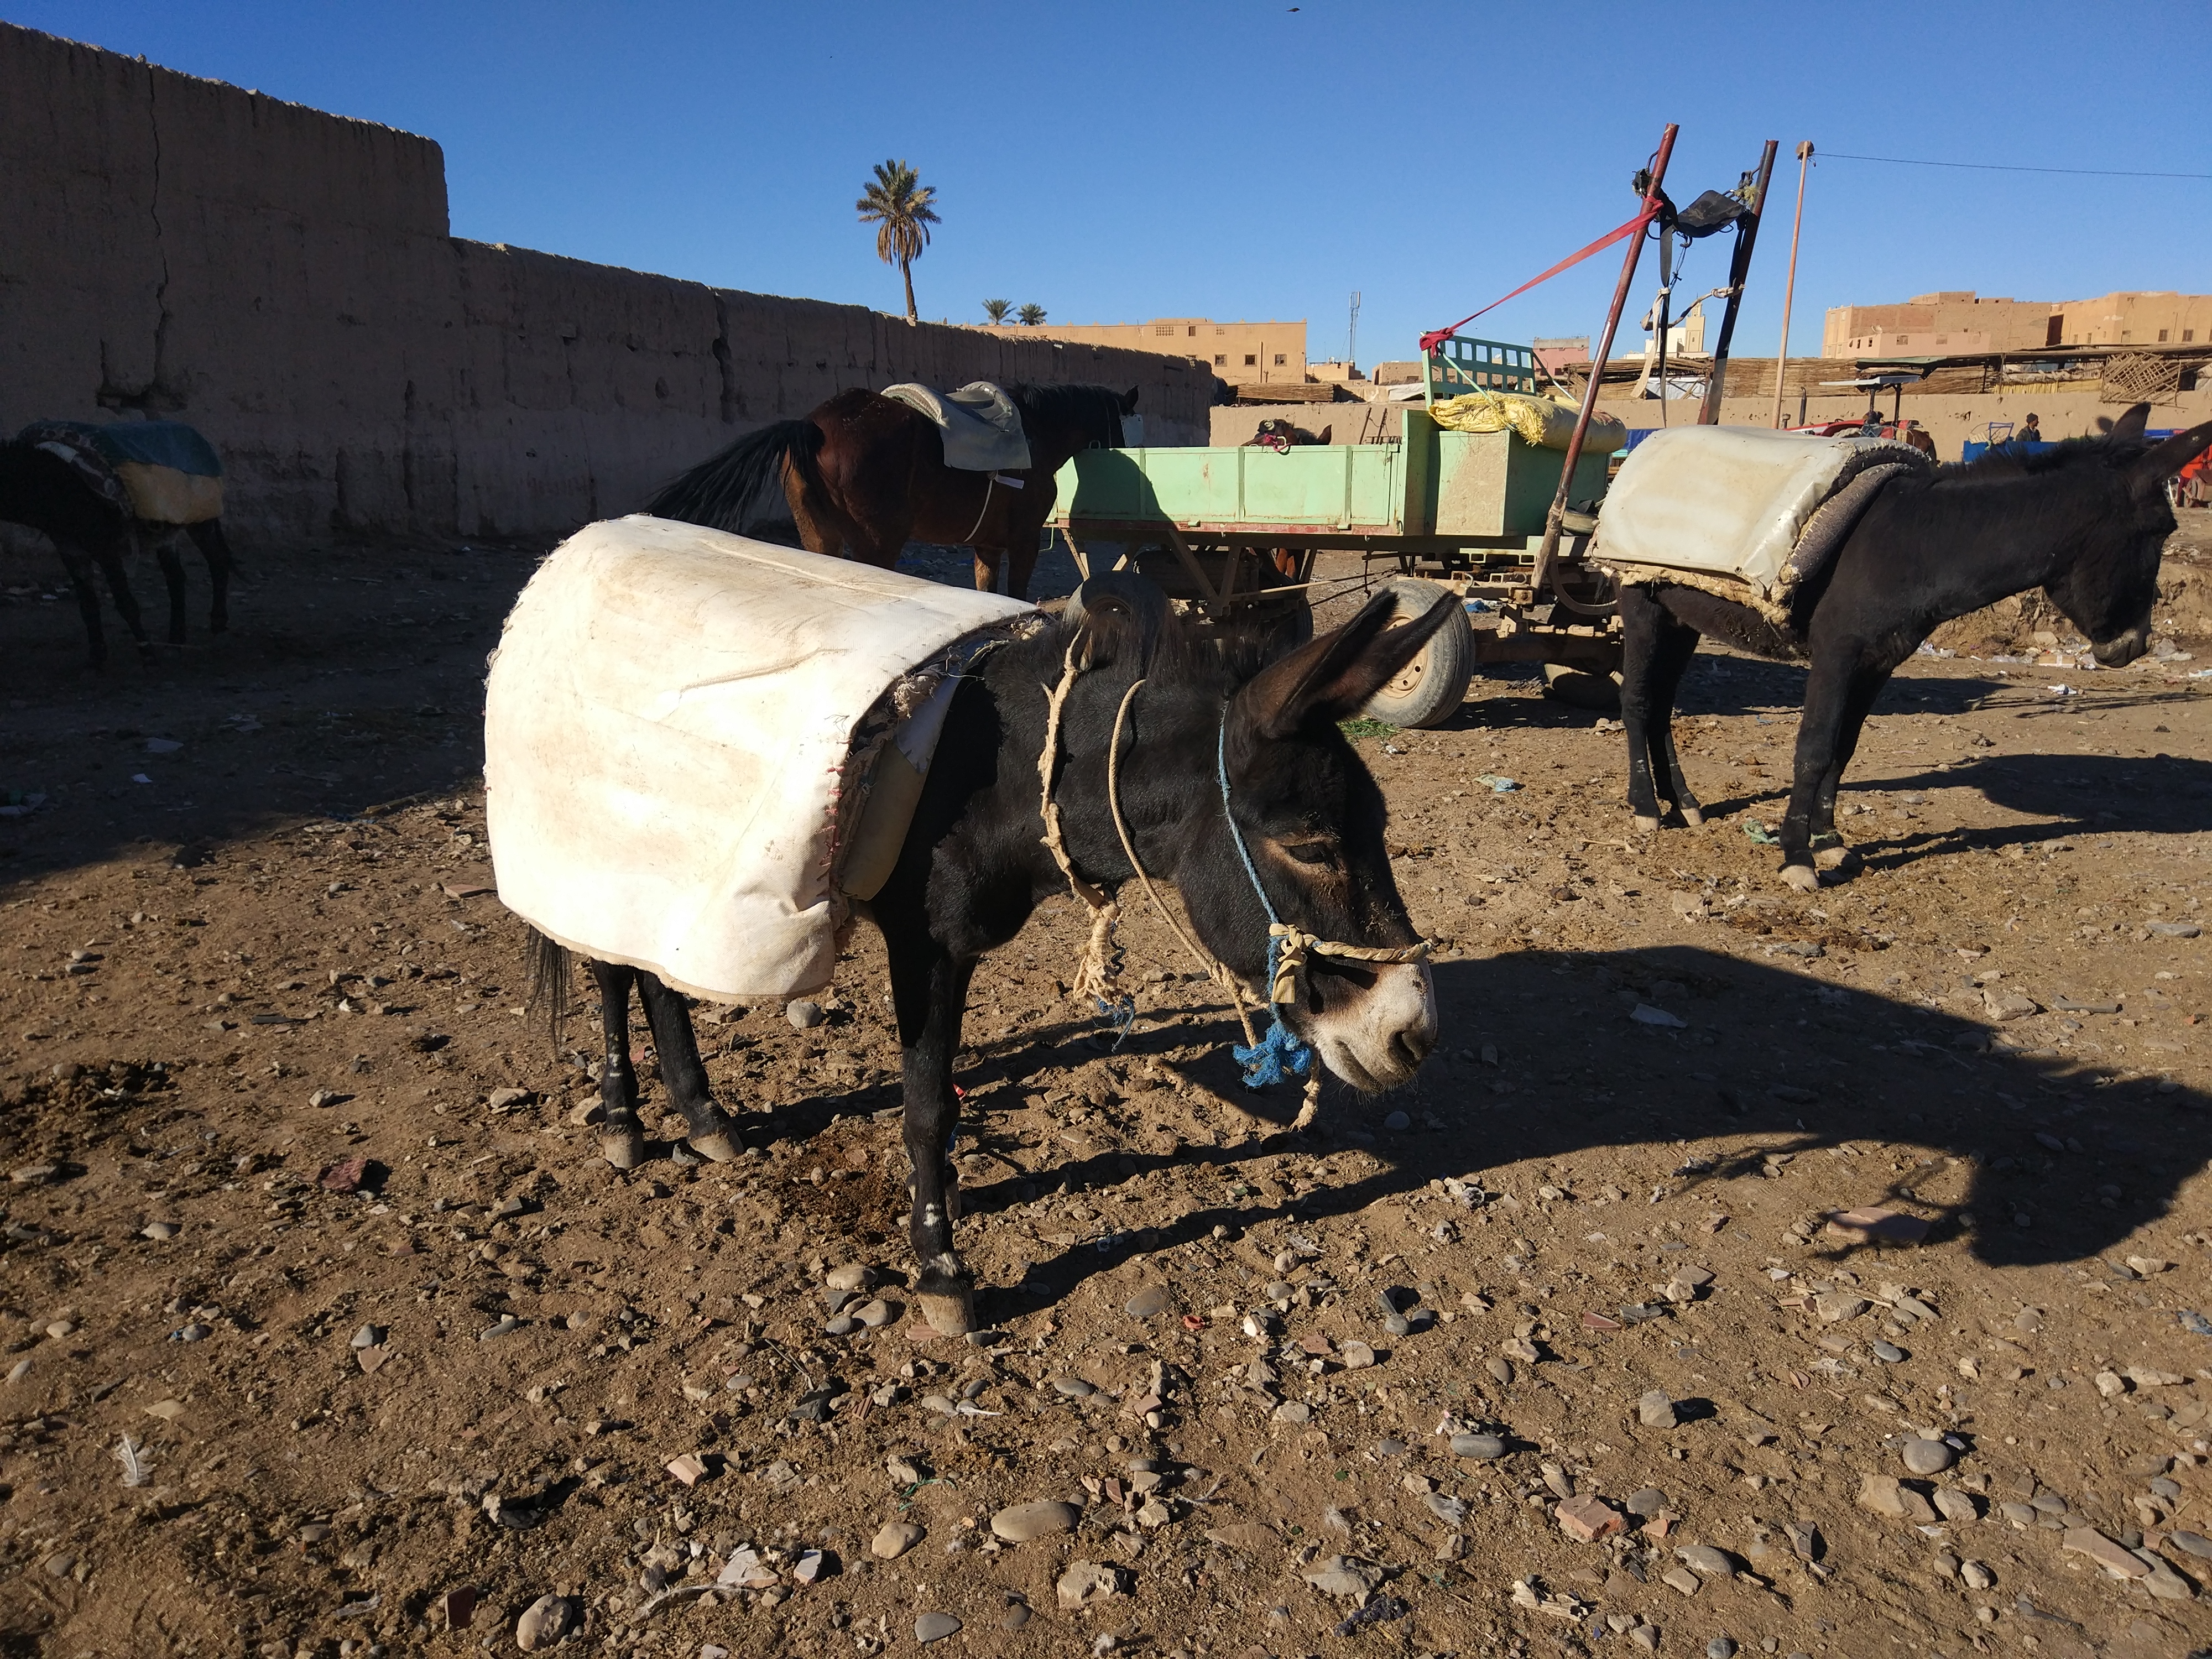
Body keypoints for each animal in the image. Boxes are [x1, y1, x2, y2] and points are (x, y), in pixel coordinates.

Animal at [637, 387, 1124, 602]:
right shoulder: (1024, 542)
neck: (1035, 435)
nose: (1122, 449)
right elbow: (1017, 594)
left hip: (820, 537)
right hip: (878, 543)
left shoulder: (987, 546)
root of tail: (812, 426)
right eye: (1118, 422)